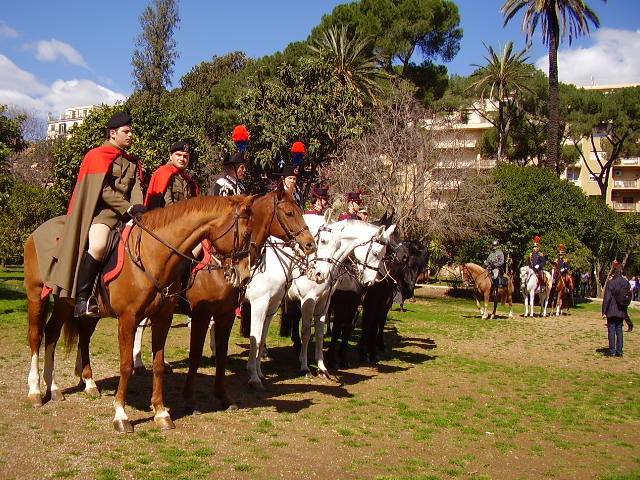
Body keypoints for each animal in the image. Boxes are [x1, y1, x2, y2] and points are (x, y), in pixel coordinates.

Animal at [23, 193, 256, 434]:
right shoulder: (131, 319)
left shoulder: (166, 318)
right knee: (37, 336)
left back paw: (61, 387)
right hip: (36, 295)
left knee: (57, 334)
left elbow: (159, 365)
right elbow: (127, 366)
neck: (153, 254)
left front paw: (161, 413)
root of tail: (37, 232)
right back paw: (35, 391)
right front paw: (121, 415)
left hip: (68, 304)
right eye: (246, 234)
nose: (245, 276)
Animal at [182, 188, 316, 412]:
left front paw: (258, 372)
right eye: (289, 213)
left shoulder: (267, 308)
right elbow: (254, 338)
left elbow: (259, 340)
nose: (309, 244)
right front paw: (254, 377)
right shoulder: (255, 306)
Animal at [248, 218, 392, 390]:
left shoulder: (324, 303)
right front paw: (305, 367)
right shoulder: (308, 301)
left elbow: (320, 333)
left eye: (384, 254)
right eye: (376, 253)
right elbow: (306, 332)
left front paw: (322, 368)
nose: (370, 282)